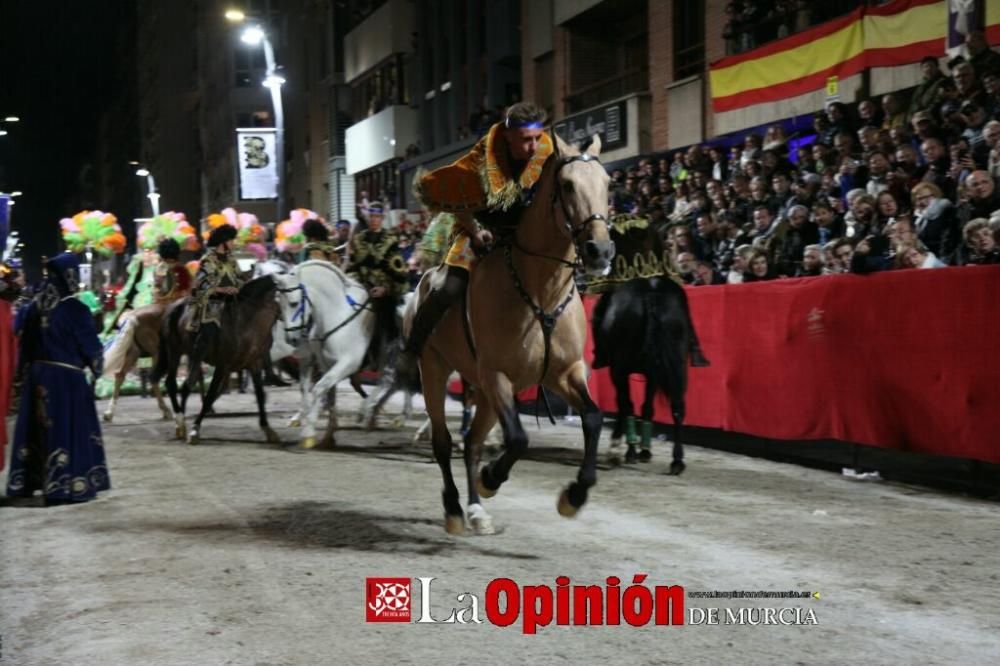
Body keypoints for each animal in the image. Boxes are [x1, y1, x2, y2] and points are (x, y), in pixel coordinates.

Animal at [408, 132, 612, 532]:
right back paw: (454, 508)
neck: (541, 292)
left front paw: (574, 496)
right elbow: (518, 438)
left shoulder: (564, 373)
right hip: (434, 370)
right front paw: (491, 478)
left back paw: (476, 511)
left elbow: (594, 419)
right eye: (567, 185)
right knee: (443, 441)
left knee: (471, 442)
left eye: (607, 183)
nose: (600, 250)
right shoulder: (496, 375)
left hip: (485, 395)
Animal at [588, 274, 700, 472]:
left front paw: (620, 449)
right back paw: (677, 461)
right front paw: (645, 451)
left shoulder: (619, 371)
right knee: (678, 407)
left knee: (627, 405)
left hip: (620, 367)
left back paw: (630, 452)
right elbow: (647, 407)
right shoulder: (653, 374)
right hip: (677, 364)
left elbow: (625, 404)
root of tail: (651, 292)